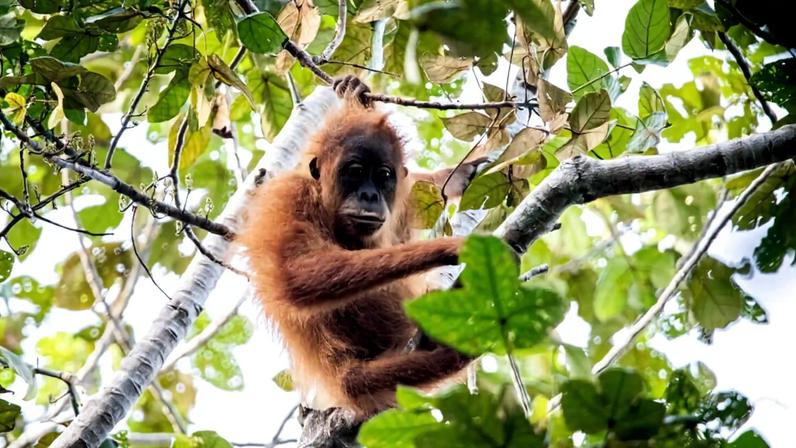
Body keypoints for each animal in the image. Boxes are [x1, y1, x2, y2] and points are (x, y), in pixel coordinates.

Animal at [238, 76, 480, 418]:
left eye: (383, 176)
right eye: (355, 172)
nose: (369, 195)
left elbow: (411, 200)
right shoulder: (289, 198)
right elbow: (295, 275)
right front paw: (448, 247)